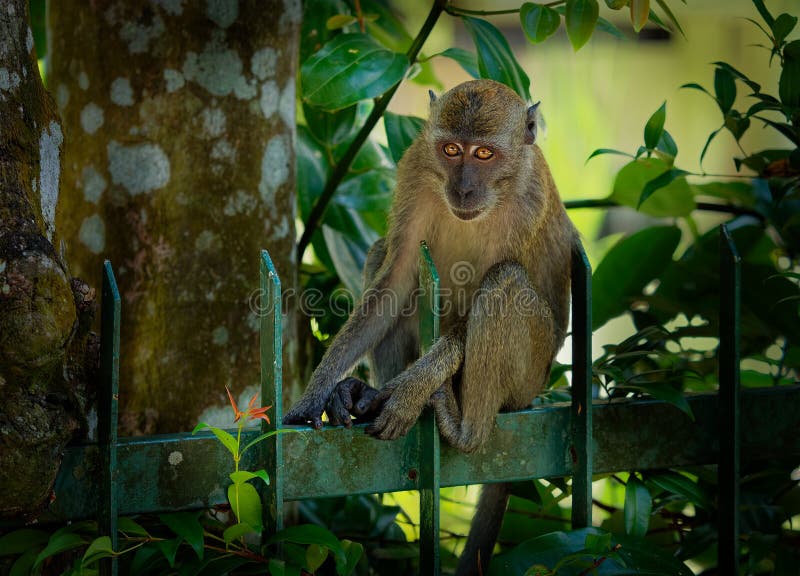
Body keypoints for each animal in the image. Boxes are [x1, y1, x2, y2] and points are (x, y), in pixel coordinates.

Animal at [284, 79, 580, 572]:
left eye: (484, 154)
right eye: (451, 149)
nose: (463, 189)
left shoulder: (528, 201)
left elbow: (475, 309)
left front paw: (410, 388)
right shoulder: (415, 169)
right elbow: (397, 276)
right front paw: (318, 391)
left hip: (527, 377)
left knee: (504, 281)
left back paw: (464, 429)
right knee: (381, 253)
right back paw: (361, 393)